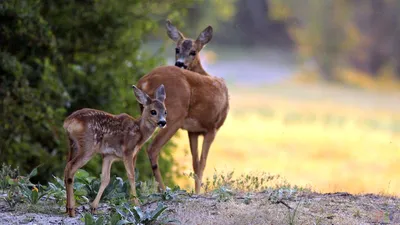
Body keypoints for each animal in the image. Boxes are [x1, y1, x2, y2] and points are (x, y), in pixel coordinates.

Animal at [62, 84, 167, 216]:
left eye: (165, 111)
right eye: (153, 111)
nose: (163, 122)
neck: (140, 133)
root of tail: (68, 122)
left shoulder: (108, 155)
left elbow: (105, 179)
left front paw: (94, 208)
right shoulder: (128, 151)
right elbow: (131, 175)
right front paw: (136, 203)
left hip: (73, 145)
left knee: (66, 167)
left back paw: (67, 208)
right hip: (88, 146)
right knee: (71, 168)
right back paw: (71, 209)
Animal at [136, 19, 228, 193]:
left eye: (193, 51)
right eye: (177, 49)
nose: (179, 63)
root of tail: (144, 81)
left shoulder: (193, 131)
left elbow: (195, 163)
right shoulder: (212, 127)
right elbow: (202, 163)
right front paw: (199, 192)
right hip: (173, 116)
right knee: (152, 148)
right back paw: (162, 189)